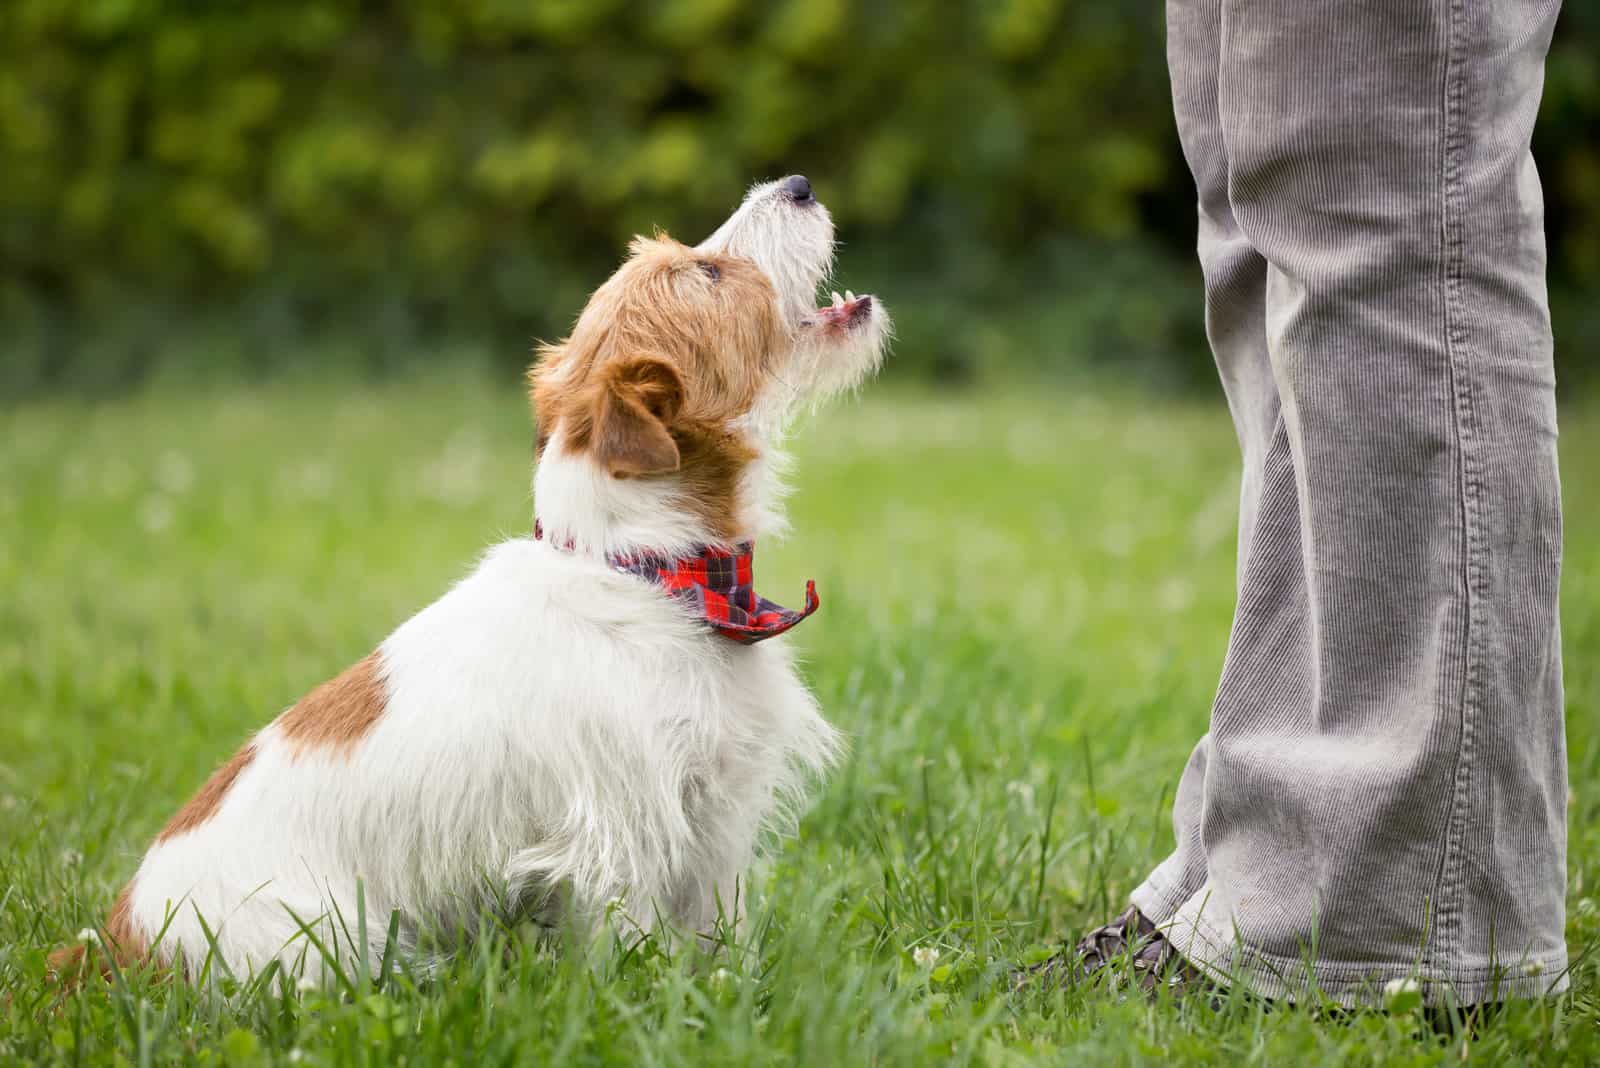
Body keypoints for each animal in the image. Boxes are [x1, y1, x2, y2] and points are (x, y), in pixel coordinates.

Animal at [50, 175, 889, 984]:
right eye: (707, 273)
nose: (800, 182)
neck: (653, 573)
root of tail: (123, 940)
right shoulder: (627, 830)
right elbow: (638, 948)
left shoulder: (715, 818)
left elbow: (721, 934)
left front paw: (729, 990)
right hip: (329, 946)